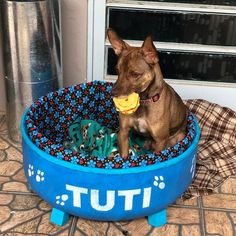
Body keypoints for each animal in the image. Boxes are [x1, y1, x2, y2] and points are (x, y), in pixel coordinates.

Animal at [107, 29, 188, 158]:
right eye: (117, 70)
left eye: (135, 74)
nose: (112, 93)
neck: (143, 100)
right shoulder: (123, 133)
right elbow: (124, 156)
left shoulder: (160, 141)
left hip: (178, 137)